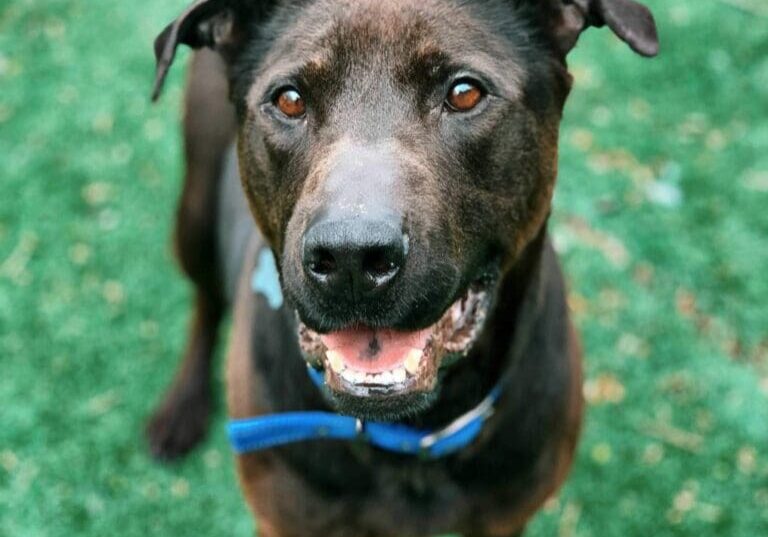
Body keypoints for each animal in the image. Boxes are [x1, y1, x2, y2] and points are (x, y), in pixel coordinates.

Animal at [147, 2, 656, 532]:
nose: (351, 257)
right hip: (195, 213)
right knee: (206, 303)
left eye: (465, 92)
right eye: (288, 100)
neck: (415, 434)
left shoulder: (505, 518)